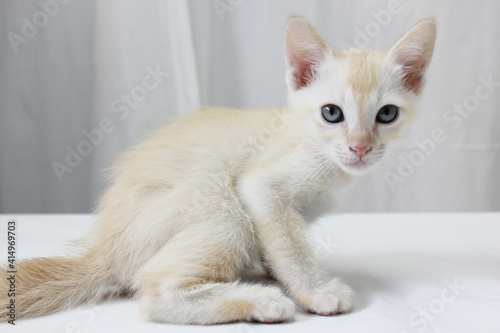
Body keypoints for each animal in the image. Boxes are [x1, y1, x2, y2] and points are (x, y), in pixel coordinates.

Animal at [0, 16, 436, 324]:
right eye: (332, 113)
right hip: (222, 210)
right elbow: (290, 245)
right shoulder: (261, 184)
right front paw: (316, 291)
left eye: (386, 114)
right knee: (155, 292)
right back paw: (261, 302)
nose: (360, 147)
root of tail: (105, 252)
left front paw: (278, 273)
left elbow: (278, 245)